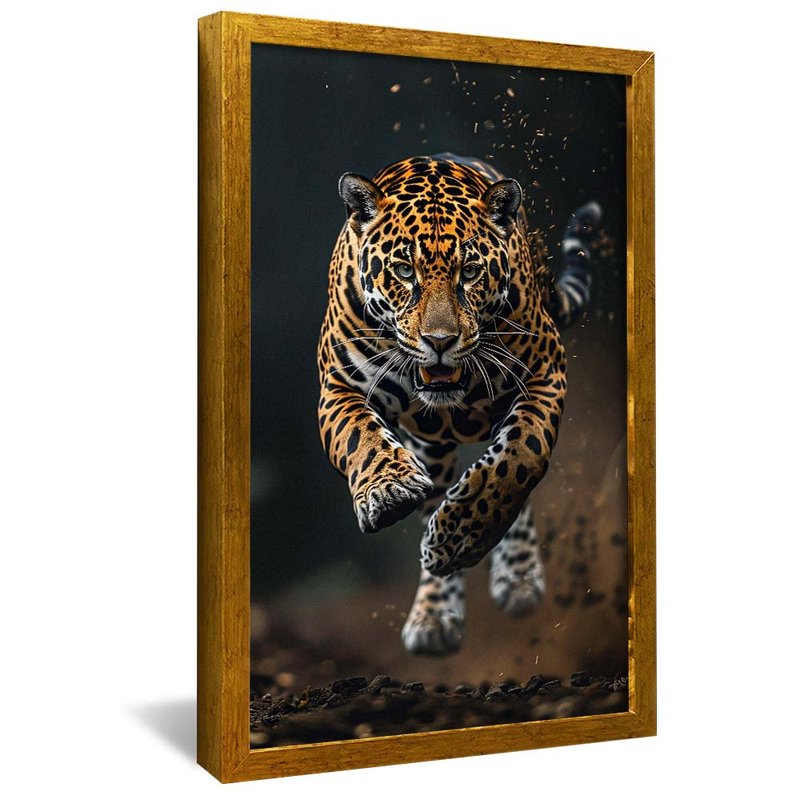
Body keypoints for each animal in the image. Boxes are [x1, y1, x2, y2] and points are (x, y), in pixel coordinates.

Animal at [317, 153, 600, 656]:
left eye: (469, 272)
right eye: (404, 271)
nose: (440, 341)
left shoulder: (545, 373)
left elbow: (519, 460)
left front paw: (460, 538)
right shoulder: (338, 384)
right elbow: (361, 439)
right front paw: (389, 493)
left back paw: (516, 577)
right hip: (430, 446)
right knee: (434, 494)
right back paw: (433, 615)